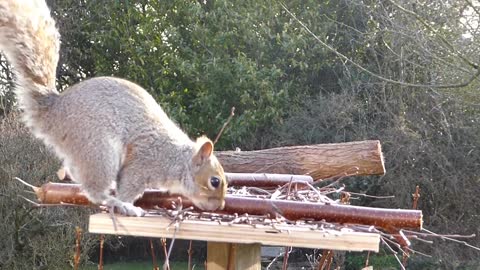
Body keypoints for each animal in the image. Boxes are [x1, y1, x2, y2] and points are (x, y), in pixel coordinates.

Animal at [0, 0, 227, 215]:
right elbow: (128, 187)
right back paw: (120, 204)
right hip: (100, 150)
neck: (177, 159)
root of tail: (54, 112)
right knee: (94, 192)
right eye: (214, 181)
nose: (219, 206)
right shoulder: (142, 164)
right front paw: (128, 202)